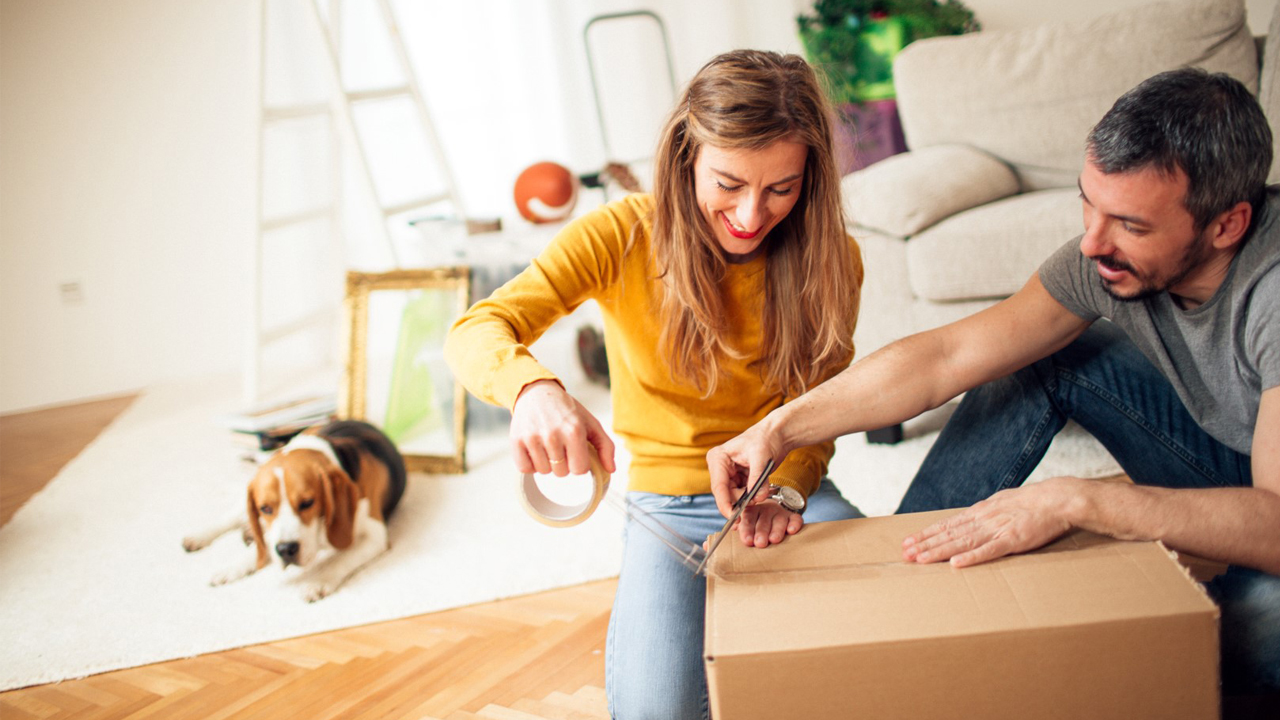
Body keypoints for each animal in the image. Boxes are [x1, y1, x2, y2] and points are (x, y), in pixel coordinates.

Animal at [180, 417, 404, 597]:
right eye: (265, 508)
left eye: (307, 503)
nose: (286, 550)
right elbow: (260, 548)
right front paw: (234, 567)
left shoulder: (374, 537)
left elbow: (341, 560)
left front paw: (319, 581)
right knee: (229, 519)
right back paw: (199, 537)